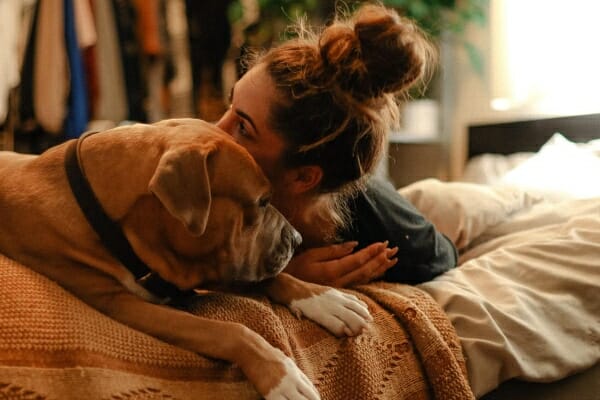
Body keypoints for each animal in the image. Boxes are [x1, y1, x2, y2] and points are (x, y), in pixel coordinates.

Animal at [0, 119, 372, 400]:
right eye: (262, 201)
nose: (296, 240)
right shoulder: (125, 305)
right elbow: (230, 330)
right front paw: (282, 374)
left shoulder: (210, 264)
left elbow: (275, 277)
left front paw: (325, 300)